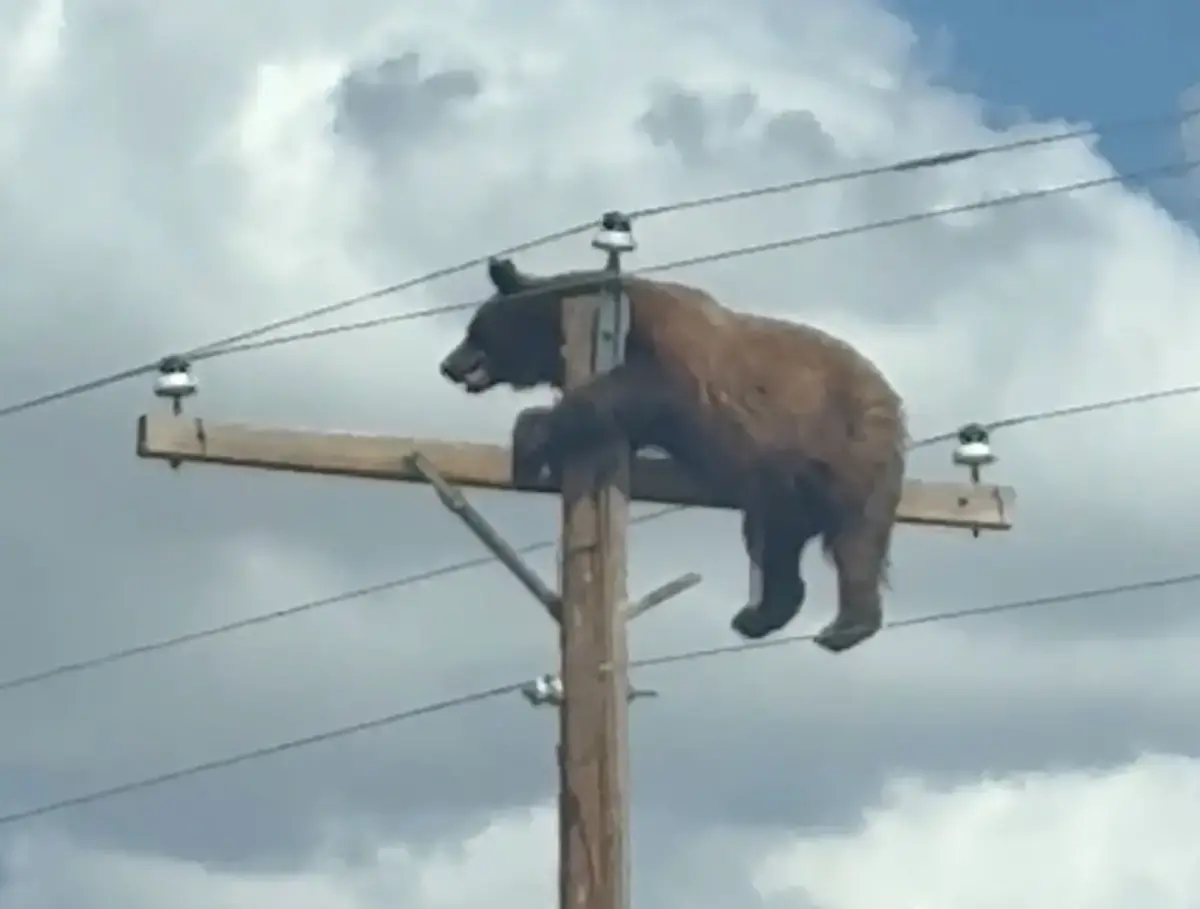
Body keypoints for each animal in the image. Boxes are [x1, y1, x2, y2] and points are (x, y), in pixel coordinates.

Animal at [438, 256, 908, 653]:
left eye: (473, 329)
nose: (448, 365)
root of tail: (890, 396)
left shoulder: (670, 352)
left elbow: (634, 389)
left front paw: (531, 433)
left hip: (849, 445)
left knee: (856, 537)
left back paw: (844, 626)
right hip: (780, 484)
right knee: (776, 543)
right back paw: (758, 616)